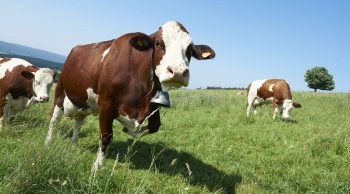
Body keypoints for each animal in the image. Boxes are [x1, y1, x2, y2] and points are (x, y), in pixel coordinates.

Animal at [44, 20, 216, 170]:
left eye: (190, 50)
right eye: (158, 43)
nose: (179, 72)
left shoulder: (153, 104)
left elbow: (154, 126)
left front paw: (131, 130)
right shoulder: (106, 105)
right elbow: (106, 137)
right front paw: (97, 168)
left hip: (84, 104)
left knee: (78, 121)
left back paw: (74, 145)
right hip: (60, 92)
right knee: (54, 119)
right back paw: (48, 143)